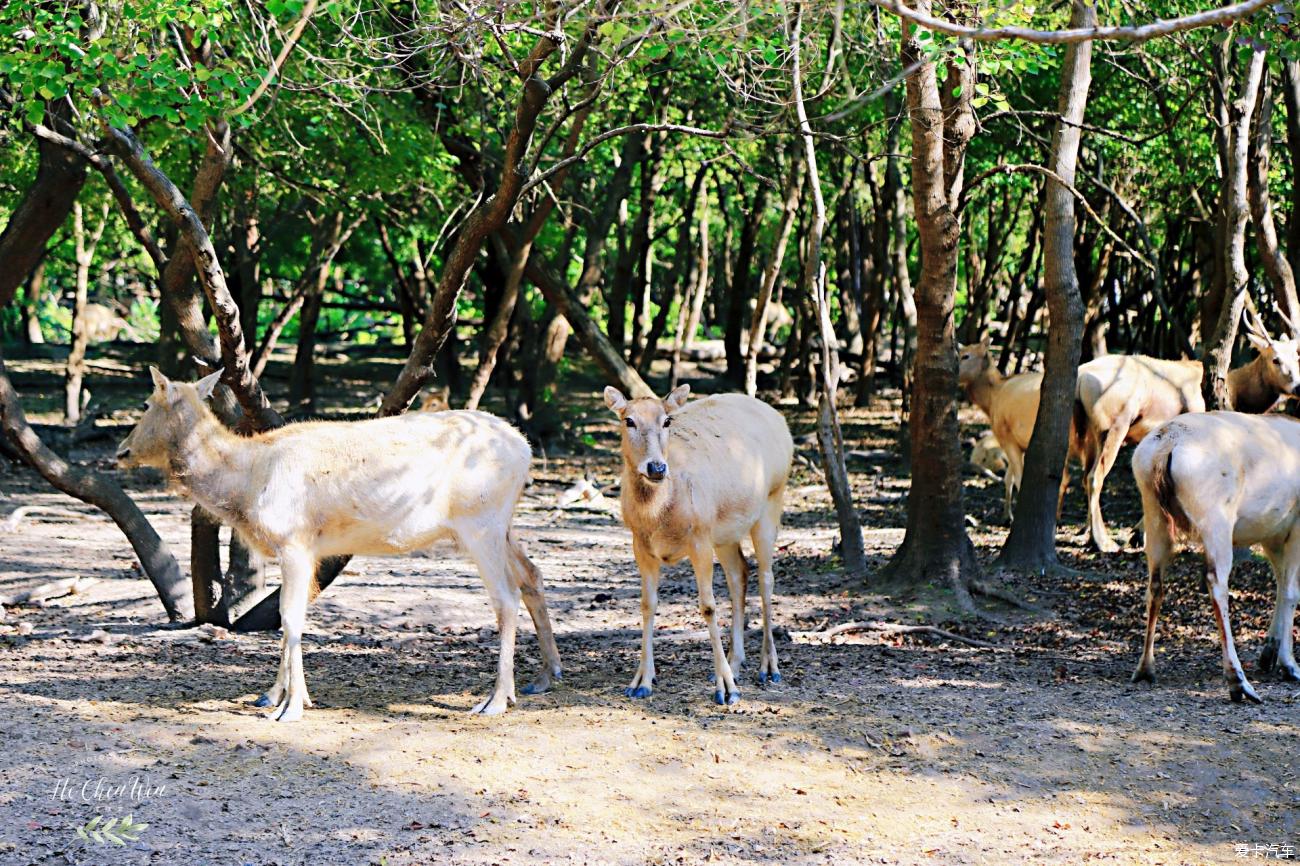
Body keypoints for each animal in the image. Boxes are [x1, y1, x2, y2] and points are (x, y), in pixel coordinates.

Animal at [122, 366, 564, 717]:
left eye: (145, 402)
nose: (122, 450)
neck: (248, 480)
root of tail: (525, 449)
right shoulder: (309, 550)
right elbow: (291, 616)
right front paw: (272, 695)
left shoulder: (294, 541)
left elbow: (290, 618)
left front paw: (292, 706)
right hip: (504, 525)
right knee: (532, 575)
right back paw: (545, 676)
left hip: (480, 523)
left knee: (505, 597)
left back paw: (496, 699)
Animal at [603, 382, 795, 702]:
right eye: (628, 420)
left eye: (667, 420)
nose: (656, 468)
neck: (659, 517)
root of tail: (781, 422)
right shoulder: (640, 544)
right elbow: (647, 604)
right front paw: (641, 681)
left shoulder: (699, 537)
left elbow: (708, 606)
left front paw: (726, 690)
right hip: (725, 532)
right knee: (739, 573)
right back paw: (735, 662)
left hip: (772, 501)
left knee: (766, 578)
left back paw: (769, 668)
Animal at [1066, 308, 1300, 553]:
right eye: (1275, 359)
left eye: (1297, 357)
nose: (1298, 387)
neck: (1235, 392)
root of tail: (1081, 377)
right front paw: (1140, 534)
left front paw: (1139, 533)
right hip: (1113, 424)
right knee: (1094, 476)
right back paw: (1103, 541)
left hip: (1088, 431)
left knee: (1084, 474)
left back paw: (1088, 534)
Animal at [1128, 410, 1300, 702]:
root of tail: (1166, 444)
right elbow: (1291, 592)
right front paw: (1289, 665)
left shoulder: (1272, 533)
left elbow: (1280, 585)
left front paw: (1269, 654)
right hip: (1214, 515)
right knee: (1216, 580)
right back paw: (1238, 681)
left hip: (1153, 511)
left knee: (1155, 582)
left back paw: (1144, 668)